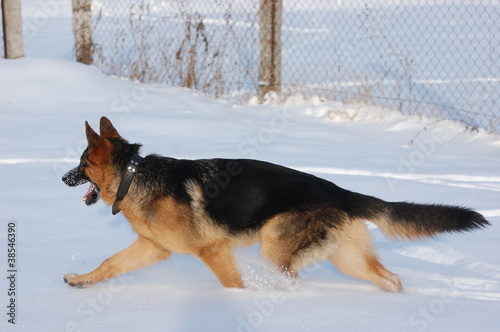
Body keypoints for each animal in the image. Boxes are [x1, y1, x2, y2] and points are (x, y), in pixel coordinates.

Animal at [62, 117, 488, 294]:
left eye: (82, 164)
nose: (63, 178)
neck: (134, 176)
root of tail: (341, 192)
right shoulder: (153, 248)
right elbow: (110, 264)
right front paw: (81, 281)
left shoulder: (212, 251)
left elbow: (232, 285)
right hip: (346, 259)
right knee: (391, 279)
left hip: (274, 248)